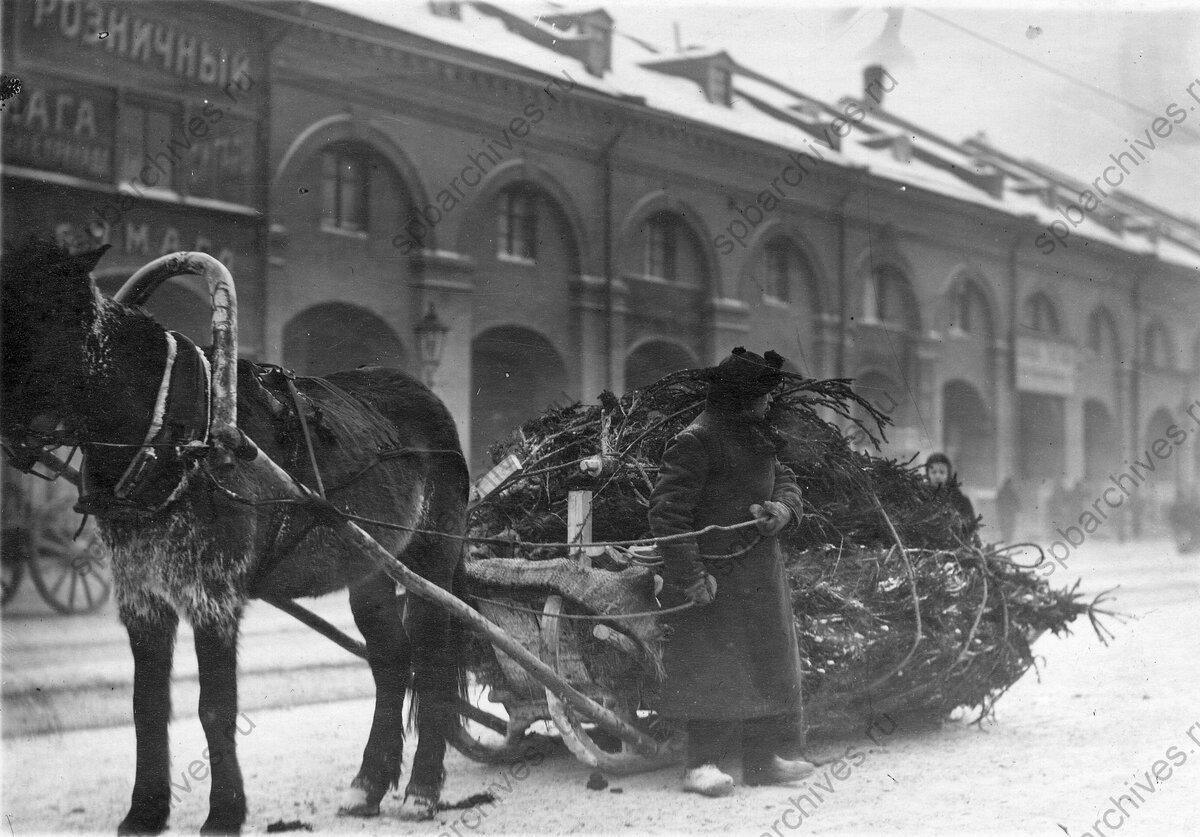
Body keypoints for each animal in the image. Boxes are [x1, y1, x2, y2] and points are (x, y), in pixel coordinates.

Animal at [2, 237, 470, 829]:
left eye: (42, 314)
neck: (174, 431)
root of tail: (428, 398)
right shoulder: (141, 596)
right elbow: (146, 705)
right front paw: (145, 812)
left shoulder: (213, 595)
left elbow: (215, 707)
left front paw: (224, 812)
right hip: (370, 567)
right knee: (391, 661)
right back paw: (367, 784)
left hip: (431, 560)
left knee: (431, 663)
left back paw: (423, 790)